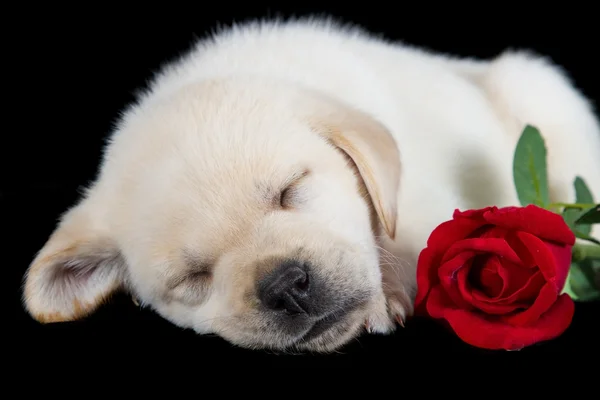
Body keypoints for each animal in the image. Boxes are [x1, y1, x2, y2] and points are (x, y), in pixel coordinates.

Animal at [19, 17, 600, 352]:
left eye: (291, 189)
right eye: (192, 278)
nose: (284, 287)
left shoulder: (422, 194)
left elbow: (407, 237)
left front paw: (386, 294)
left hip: (542, 97)